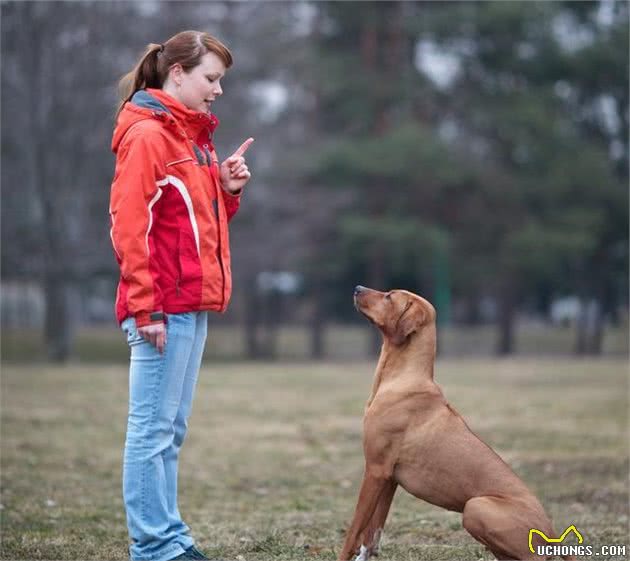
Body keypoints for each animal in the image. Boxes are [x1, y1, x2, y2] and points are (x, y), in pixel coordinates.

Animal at [340, 286, 568, 556]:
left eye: (389, 296)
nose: (357, 288)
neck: (403, 378)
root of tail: (552, 532)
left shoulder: (375, 470)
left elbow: (354, 531)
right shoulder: (389, 478)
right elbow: (372, 534)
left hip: (475, 507)